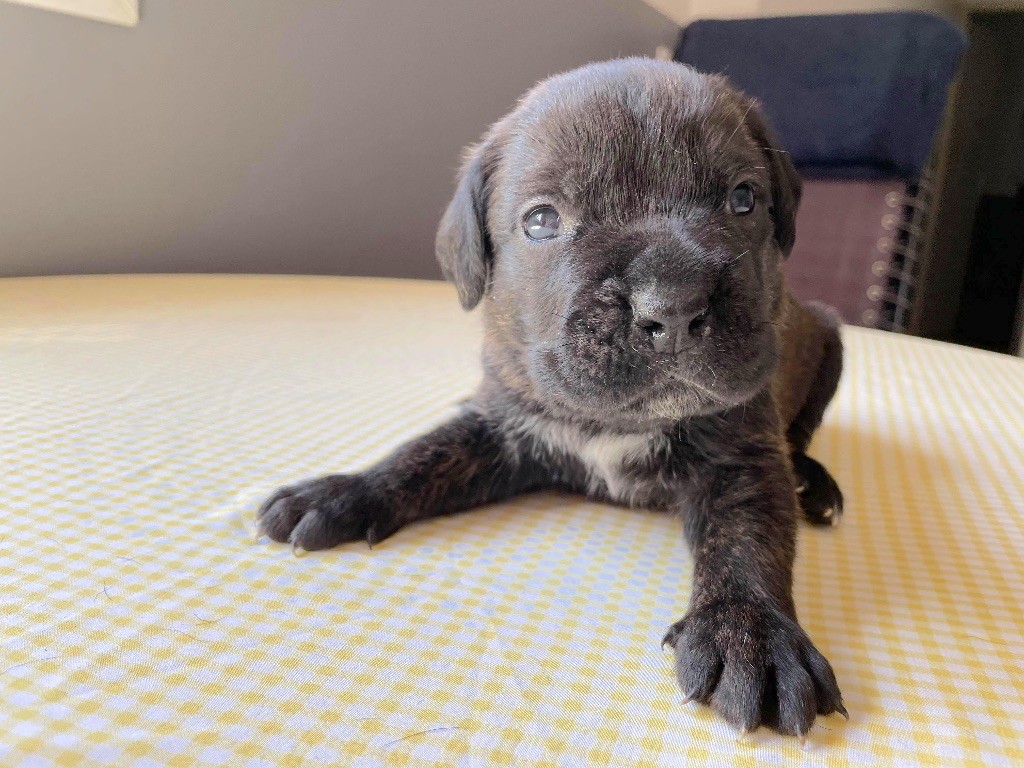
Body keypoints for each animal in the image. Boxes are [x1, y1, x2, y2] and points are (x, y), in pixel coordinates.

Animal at [259, 58, 847, 737]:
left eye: (744, 199)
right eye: (541, 221)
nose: (671, 303)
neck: (612, 421)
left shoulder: (741, 453)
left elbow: (748, 537)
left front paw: (752, 631)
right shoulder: (501, 423)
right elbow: (420, 455)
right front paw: (346, 490)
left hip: (830, 344)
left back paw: (815, 484)